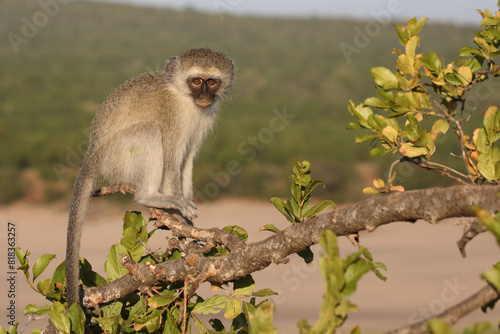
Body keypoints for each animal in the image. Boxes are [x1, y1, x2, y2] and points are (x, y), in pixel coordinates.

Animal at [65, 48, 235, 306]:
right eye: (196, 81)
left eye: (212, 82)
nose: (205, 96)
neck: (184, 97)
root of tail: (92, 158)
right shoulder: (173, 117)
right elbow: (173, 162)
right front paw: (177, 210)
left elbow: (188, 160)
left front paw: (188, 222)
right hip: (115, 158)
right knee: (150, 131)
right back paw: (149, 197)